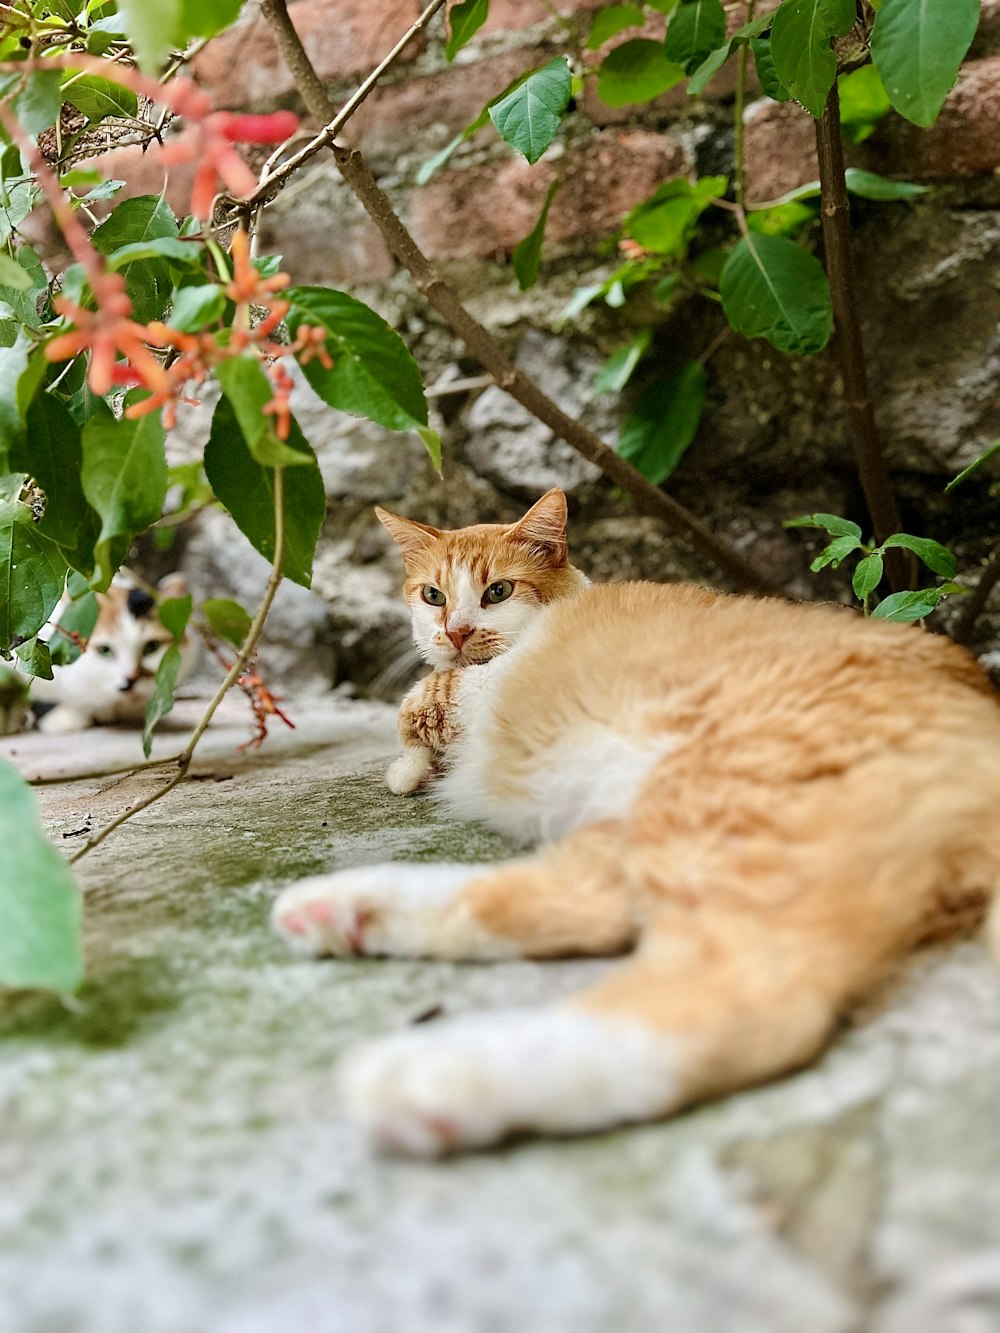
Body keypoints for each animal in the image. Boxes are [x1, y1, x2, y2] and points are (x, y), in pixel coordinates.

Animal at [270, 490, 1000, 1157]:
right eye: (431, 595)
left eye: (497, 591)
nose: (453, 630)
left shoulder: (466, 688)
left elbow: (418, 702)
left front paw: (407, 762)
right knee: (564, 904)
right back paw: (341, 908)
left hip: (727, 807)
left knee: (739, 999)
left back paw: (431, 1075)